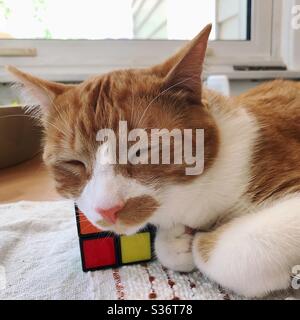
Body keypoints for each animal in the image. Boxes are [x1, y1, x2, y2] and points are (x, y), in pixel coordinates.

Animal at [6, 24, 300, 298]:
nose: (108, 210)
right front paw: (178, 239)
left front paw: (199, 241)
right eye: (73, 163)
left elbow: (225, 252)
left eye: (141, 150)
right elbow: (168, 248)